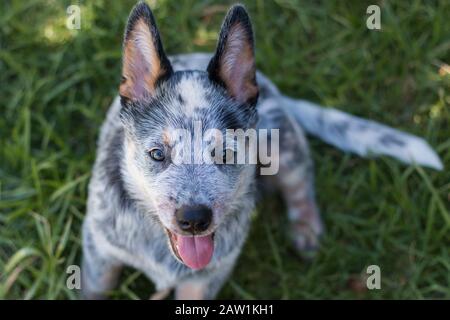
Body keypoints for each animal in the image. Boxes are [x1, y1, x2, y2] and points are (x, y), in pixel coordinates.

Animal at [81, 1, 442, 300]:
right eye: (157, 154)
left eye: (225, 154)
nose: (194, 219)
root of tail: (269, 87)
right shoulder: (98, 250)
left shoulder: (207, 278)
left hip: (281, 144)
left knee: (301, 179)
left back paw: (306, 229)